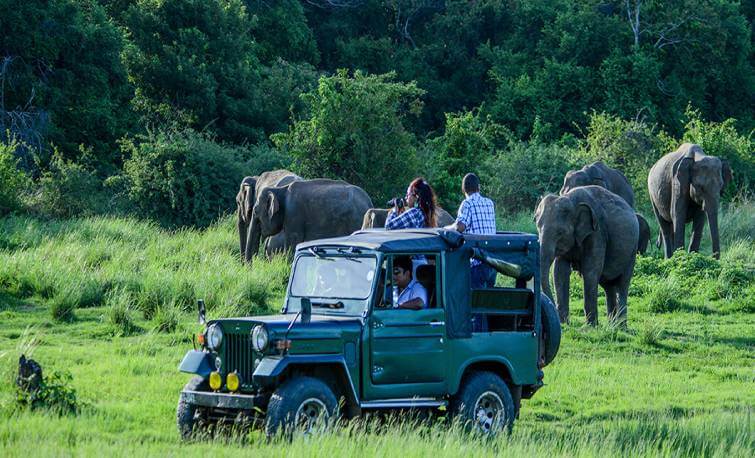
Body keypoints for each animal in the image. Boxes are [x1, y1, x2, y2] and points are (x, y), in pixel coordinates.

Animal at [536, 186, 640, 326]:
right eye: (538, 227)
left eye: (560, 232)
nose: (552, 311)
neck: (571, 199)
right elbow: (559, 272)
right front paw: (564, 323)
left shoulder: (597, 233)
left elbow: (590, 271)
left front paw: (590, 326)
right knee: (608, 286)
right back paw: (612, 325)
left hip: (632, 251)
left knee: (622, 284)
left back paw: (620, 326)